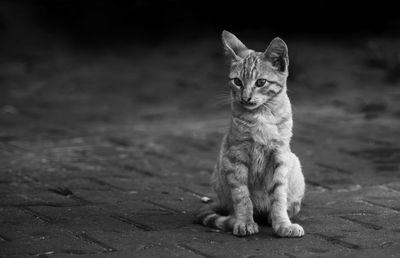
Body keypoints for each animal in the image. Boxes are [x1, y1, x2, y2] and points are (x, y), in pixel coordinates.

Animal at [195, 30, 304, 238]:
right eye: (237, 82)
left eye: (261, 82)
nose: (245, 98)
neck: (261, 115)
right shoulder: (235, 156)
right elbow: (242, 196)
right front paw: (244, 222)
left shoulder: (280, 155)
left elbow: (279, 196)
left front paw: (282, 224)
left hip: (294, 163)